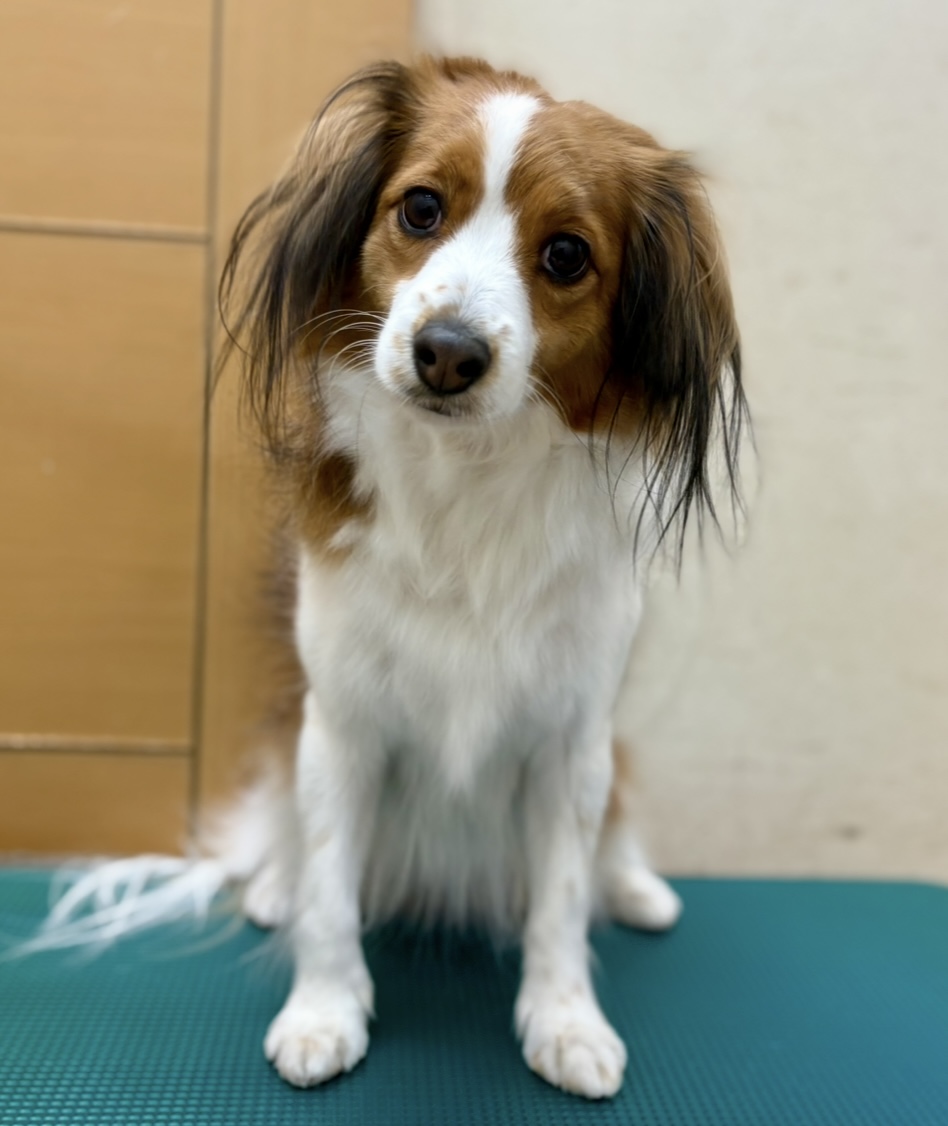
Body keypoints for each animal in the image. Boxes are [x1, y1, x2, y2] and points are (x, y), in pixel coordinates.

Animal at [32, 57, 747, 1100]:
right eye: (420, 208)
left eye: (566, 255)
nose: (447, 352)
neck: (464, 490)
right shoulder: (342, 725)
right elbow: (332, 887)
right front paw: (323, 1010)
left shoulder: (571, 741)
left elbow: (561, 897)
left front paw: (566, 1020)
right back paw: (273, 886)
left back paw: (638, 888)